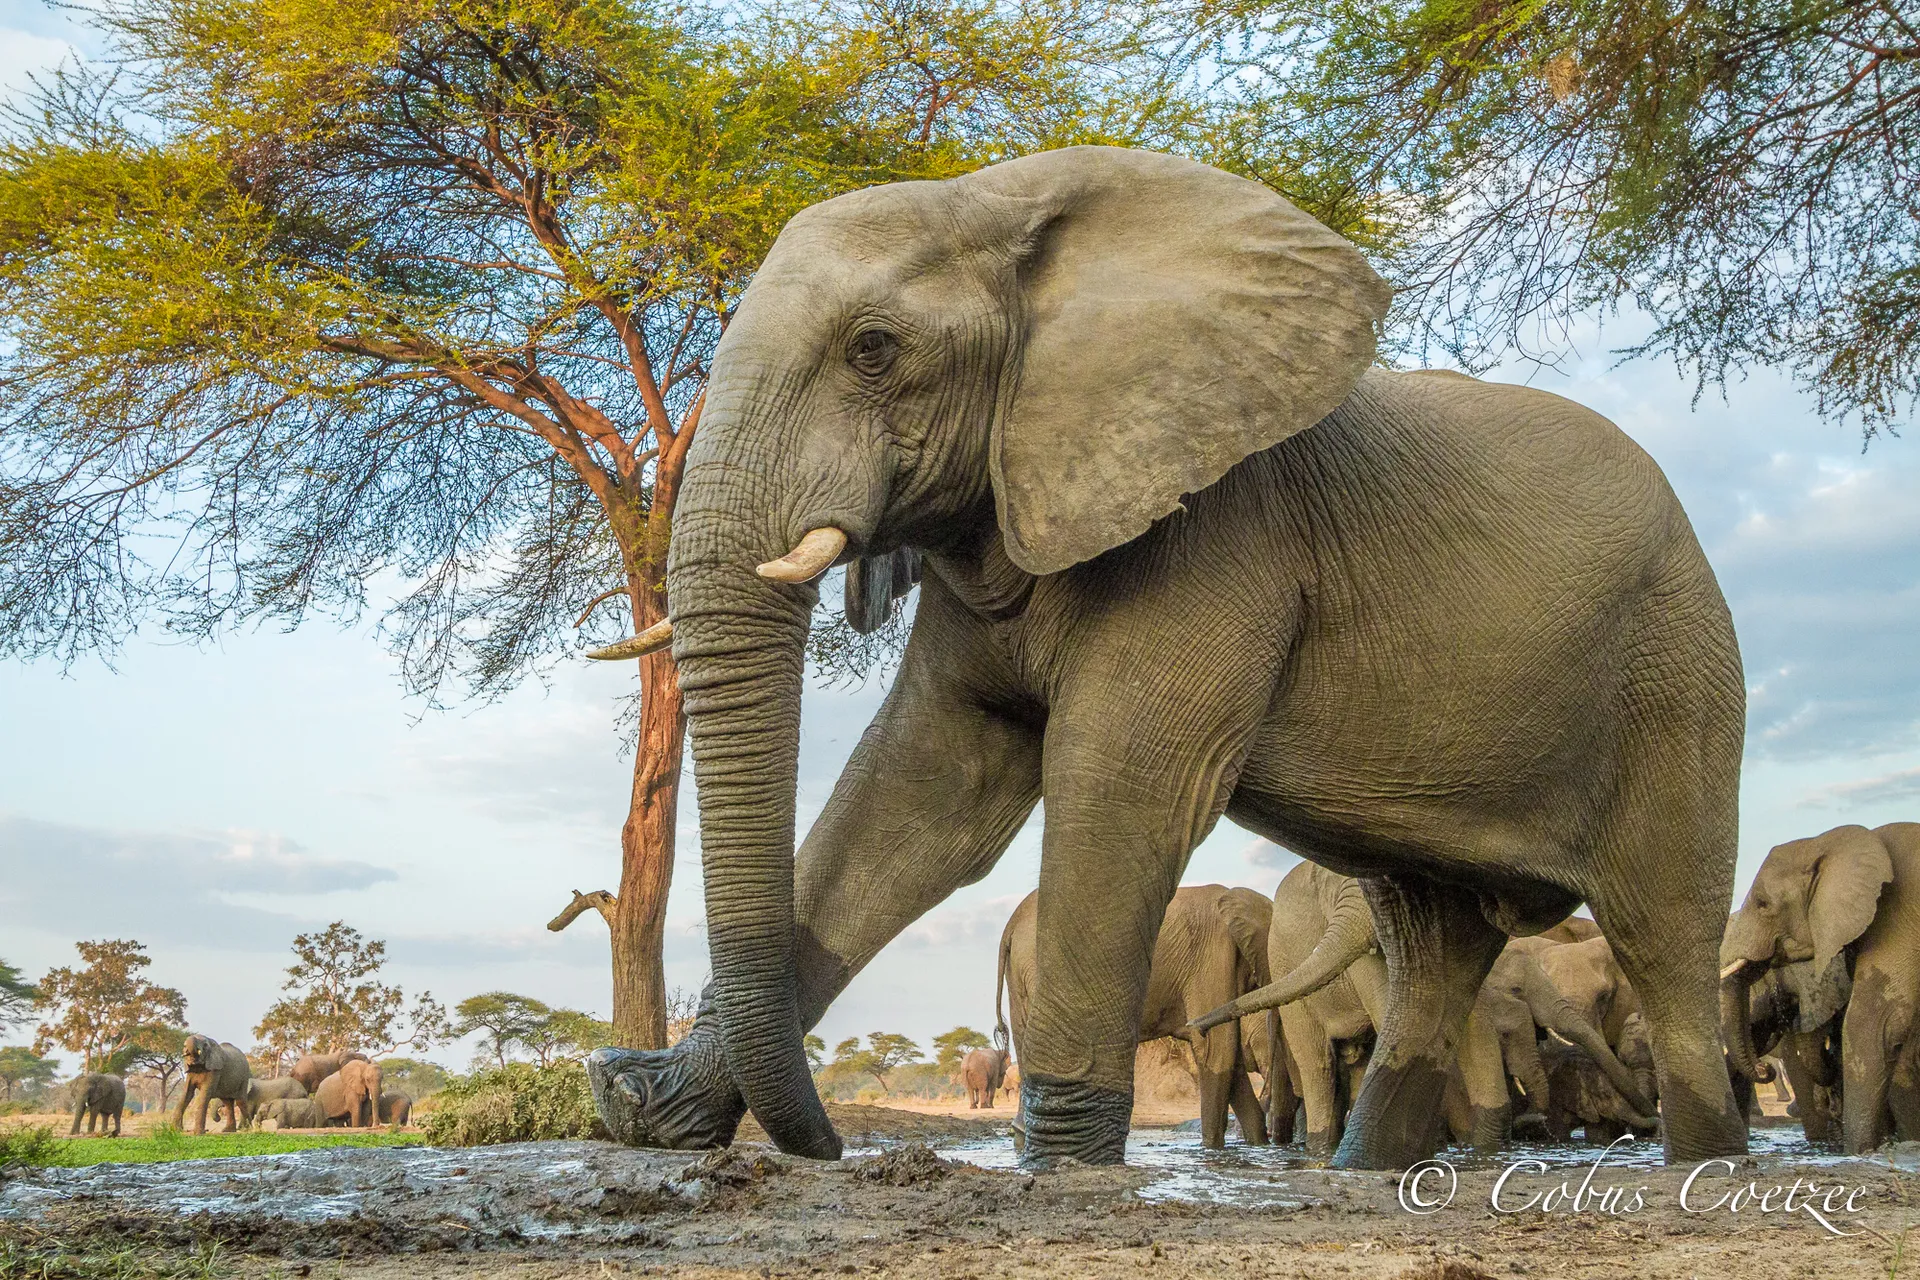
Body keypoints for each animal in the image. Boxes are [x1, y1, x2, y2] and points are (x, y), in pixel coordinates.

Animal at [998, 884, 1274, 1149]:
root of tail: (1011, 925)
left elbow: (1229, 1055)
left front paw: (1258, 1144)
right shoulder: (1212, 958)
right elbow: (1217, 1048)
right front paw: (1212, 1149)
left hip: (1021, 976)